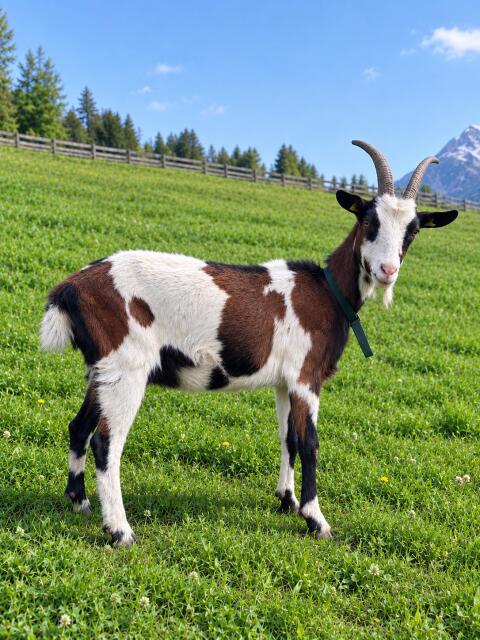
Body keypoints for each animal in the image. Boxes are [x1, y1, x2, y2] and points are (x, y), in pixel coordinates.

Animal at [40, 140, 458, 547]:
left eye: (413, 231)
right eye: (369, 221)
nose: (387, 270)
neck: (326, 293)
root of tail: (71, 287)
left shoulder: (284, 383)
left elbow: (288, 438)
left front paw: (287, 500)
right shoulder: (306, 377)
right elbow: (310, 444)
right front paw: (316, 520)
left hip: (101, 370)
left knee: (78, 426)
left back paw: (79, 501)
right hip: (126, 367)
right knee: (106, 442)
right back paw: (120, 531)